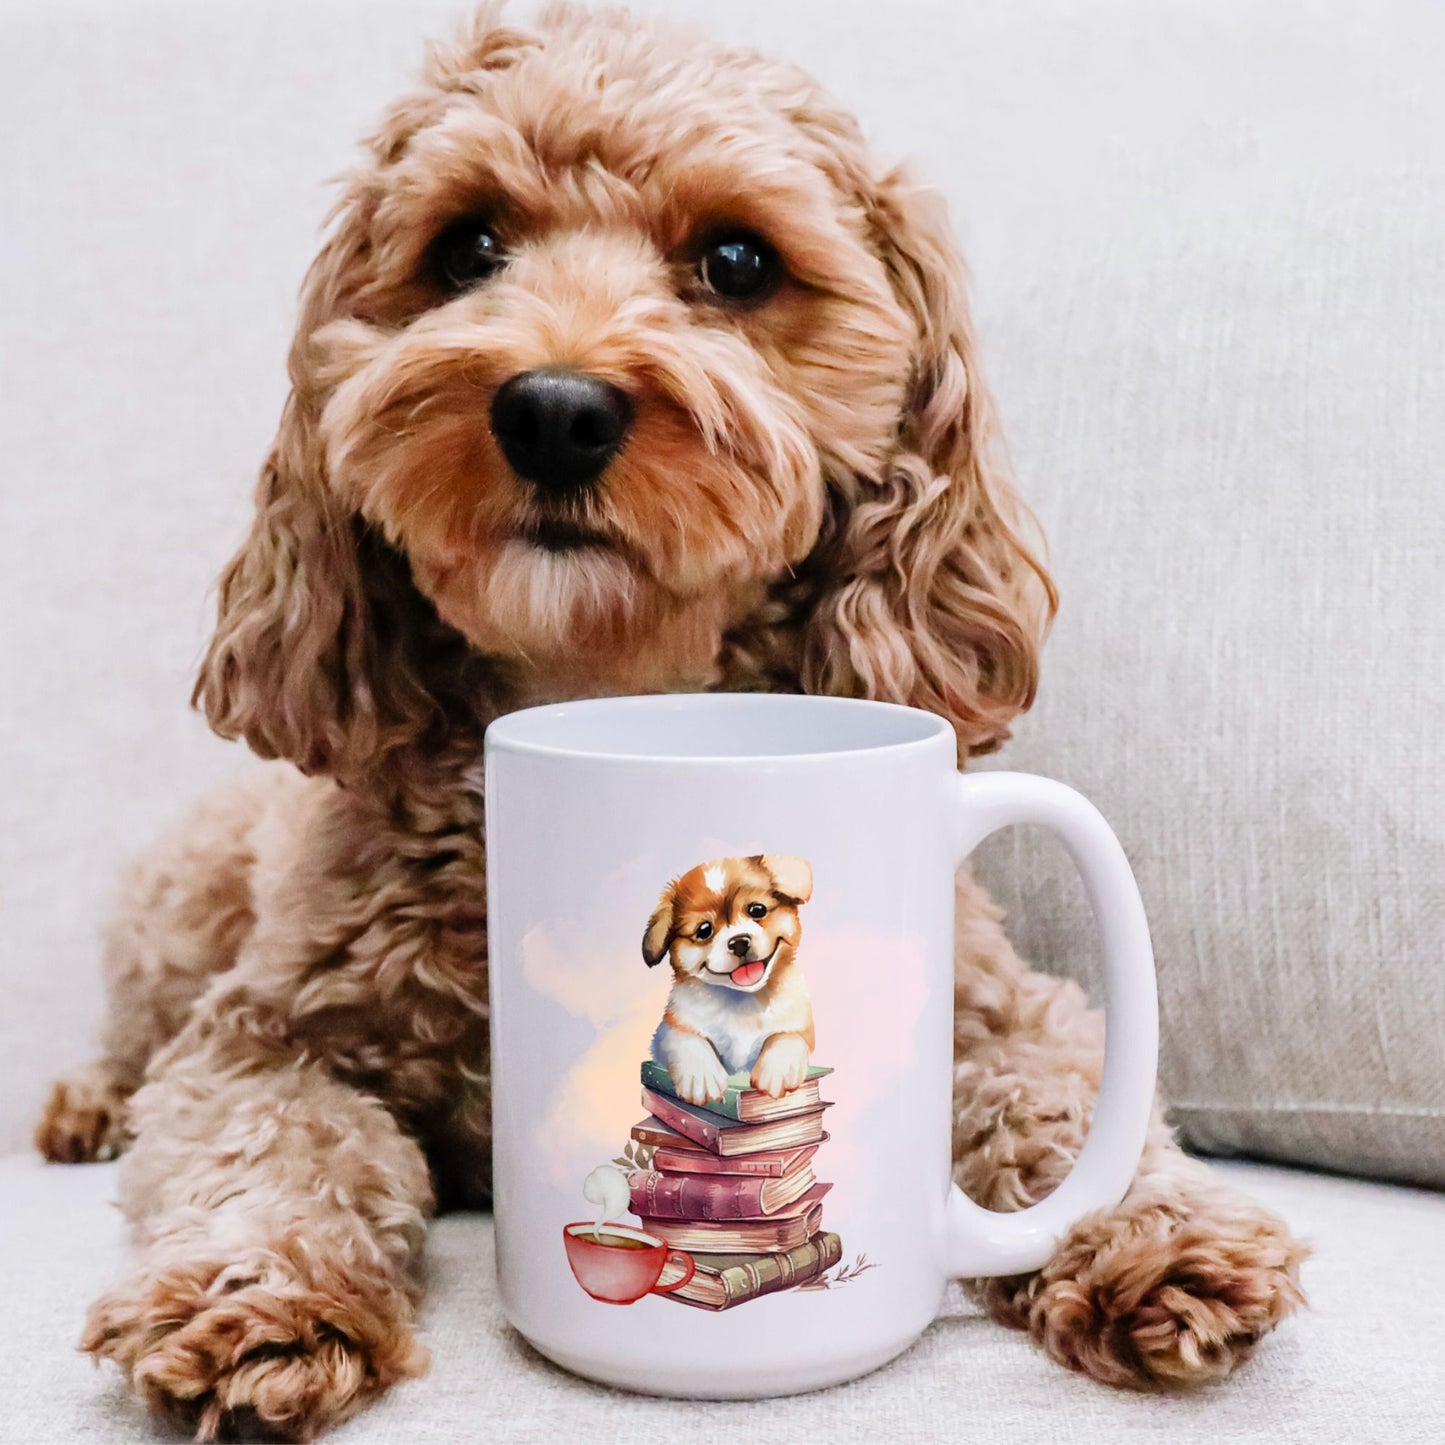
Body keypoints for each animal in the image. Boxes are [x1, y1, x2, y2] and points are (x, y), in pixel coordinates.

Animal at [644, 849, 814, 1098]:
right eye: (704, 930)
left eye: (757, 910)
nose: (739, 942)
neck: (742, 999)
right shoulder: (669, 1028)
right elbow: (686, 1039)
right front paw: (700, 1075)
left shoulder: (801, 1025)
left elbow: (786, 1035)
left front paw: (778, 1068)